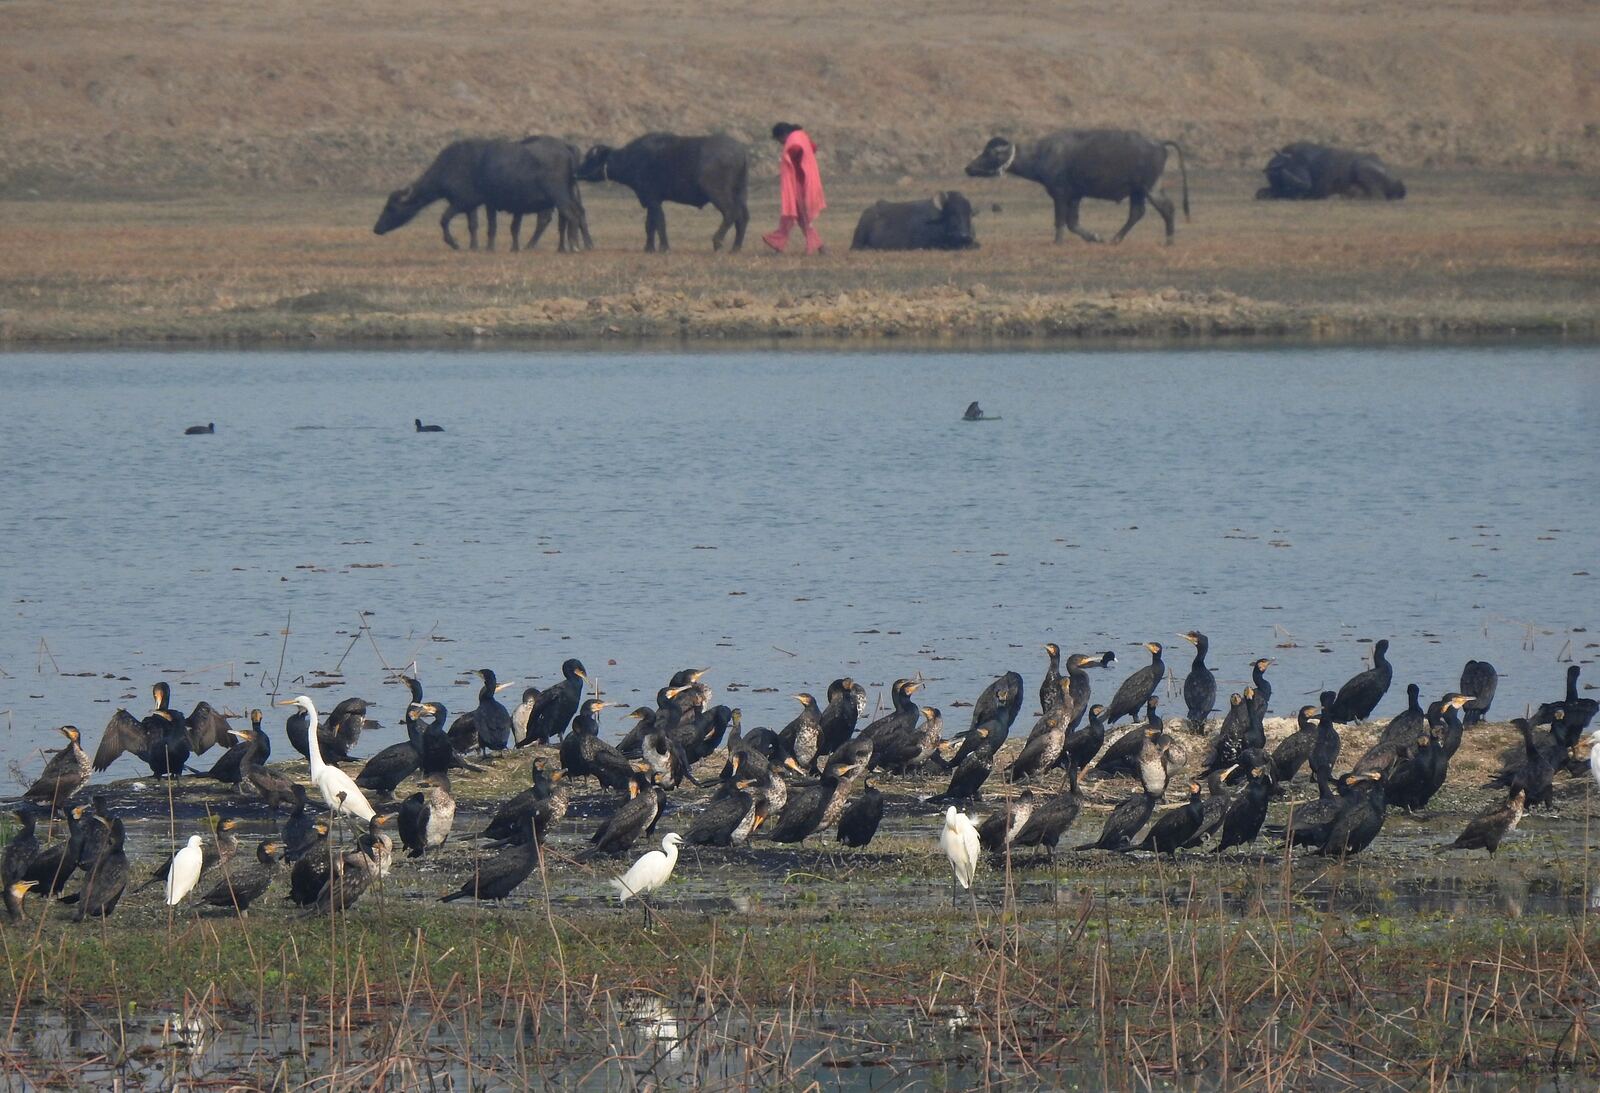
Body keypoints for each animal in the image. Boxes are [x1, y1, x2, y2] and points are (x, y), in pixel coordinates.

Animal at [374, 137, 591, 252]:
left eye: (390, 207)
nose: (377, 228)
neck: (452, 166)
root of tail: (566, 148)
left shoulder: (462, 202)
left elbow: (444, 220)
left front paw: (455, 243)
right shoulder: (477, 204)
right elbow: (475, 225)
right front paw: (475, 246)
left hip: (559, 196)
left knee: (570, 215)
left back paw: (572, 246)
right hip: (567, 195)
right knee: (578, 213)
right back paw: (585, 244)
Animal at [575, 133, 749, 252]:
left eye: (591, 158)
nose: (577, 172)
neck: (633, 159)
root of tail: (740, 152)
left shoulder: (652, 199)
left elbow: (659, 222)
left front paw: (664, 247)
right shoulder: (652, 201)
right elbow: (649, 224)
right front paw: (649, 248)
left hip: (718, 194)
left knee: (730, 213)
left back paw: (717, 242)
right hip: (740, 194)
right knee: (743, 217)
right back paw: (736, 247)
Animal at [965, 129, 1190, 244]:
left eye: (989, 153)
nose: (968, 168)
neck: (1041, 154)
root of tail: (1159, 143)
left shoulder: (1060, 194)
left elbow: (1060, 221)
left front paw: (1057, 242)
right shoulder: (1075, 196)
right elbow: (1072, 223)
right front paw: (1094, 237)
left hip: (1149, 188)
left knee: (1167, 209)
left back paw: (1168, 240)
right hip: (1138, 191)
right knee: (1138, 212)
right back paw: (1115, 239)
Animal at [1256, 142, 1406, 201]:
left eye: (1303, 163)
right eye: (1292, 165)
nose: (1306, 184)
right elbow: (1260, 193)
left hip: (1361, 168)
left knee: (1377, 196)